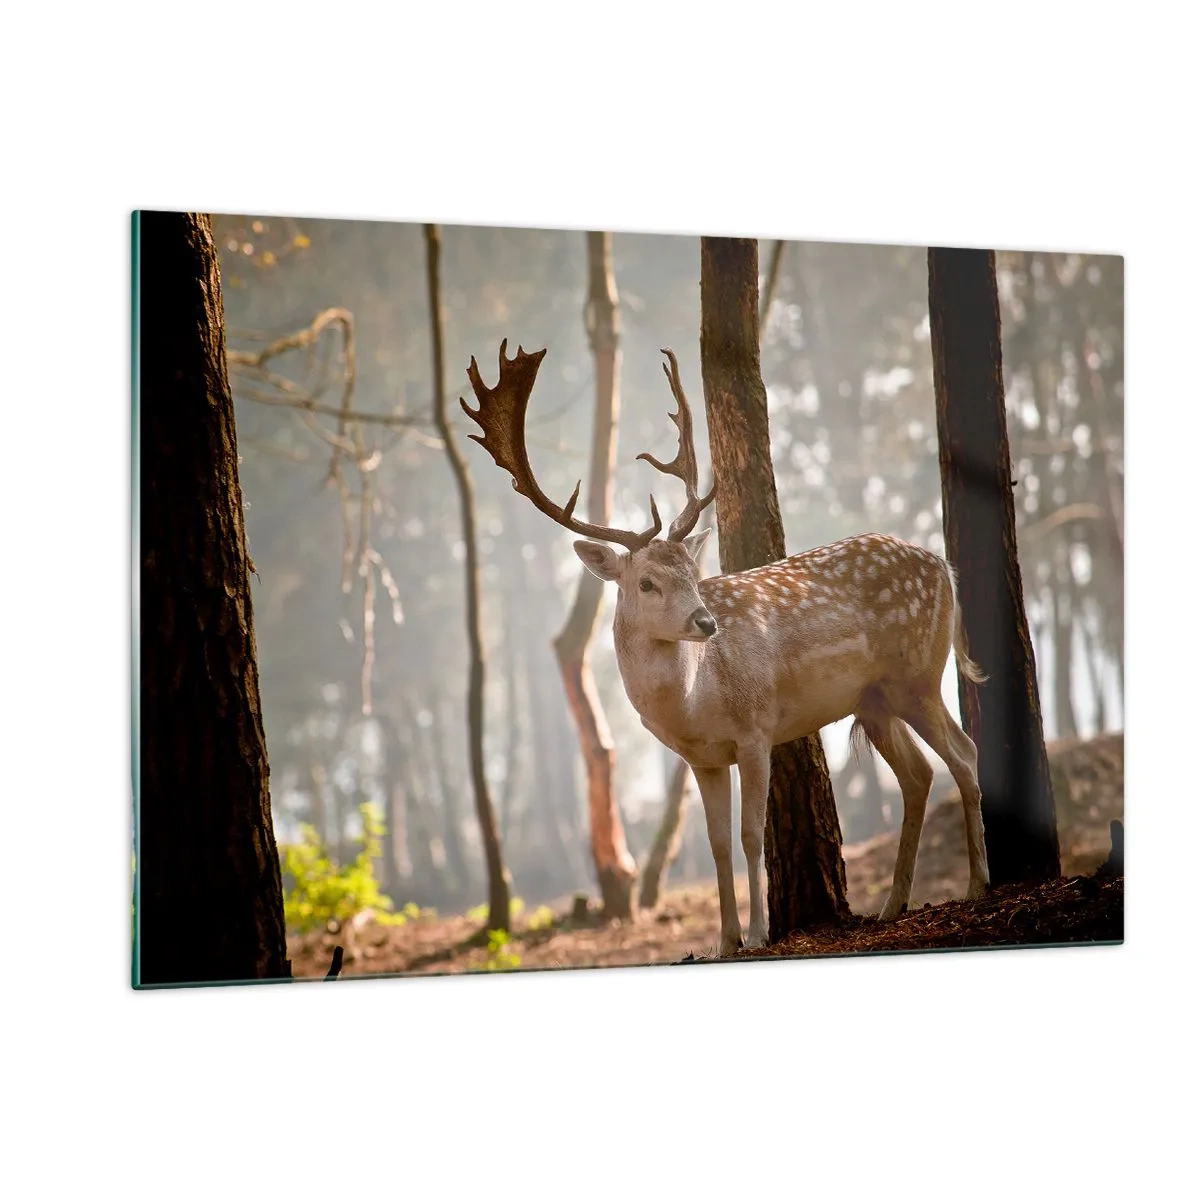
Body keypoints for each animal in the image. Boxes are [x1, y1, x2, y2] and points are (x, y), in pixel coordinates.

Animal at [462, 340, 991, 957]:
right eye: (647, 583)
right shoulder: (703, 758)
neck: (695, 704)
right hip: (875, 699)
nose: (706, 621)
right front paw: (724, 939)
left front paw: (760, 934)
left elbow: (749, 834)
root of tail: (945, 567)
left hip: (916, 674)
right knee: (919, 775)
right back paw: (891, 905)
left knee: (963, 754)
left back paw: (978, 885)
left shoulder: (757, 728)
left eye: (694, 573)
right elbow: (716, 842)